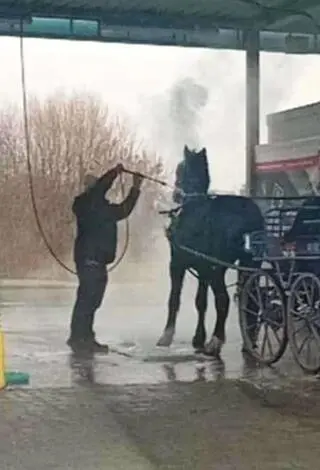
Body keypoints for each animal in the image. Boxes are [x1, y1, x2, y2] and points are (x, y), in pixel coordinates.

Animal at [156, 147, 264, 356]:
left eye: (180, 169)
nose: (175, 195)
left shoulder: (177, 264)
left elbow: (174, 298)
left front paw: (166, 335)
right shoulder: (202, 269)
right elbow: (201, 302)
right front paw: (198, 338)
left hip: (217, 270)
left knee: (223, 300)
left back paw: (216, 341)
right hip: (248, 265)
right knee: (249, 300)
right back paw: (249, 341)